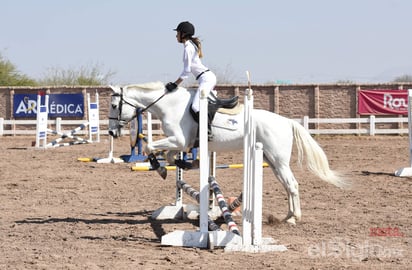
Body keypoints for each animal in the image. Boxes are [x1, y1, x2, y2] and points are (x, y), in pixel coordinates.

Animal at [108, 81, 350, 225]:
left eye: (113, 105)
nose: (111, 131)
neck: (170, 106)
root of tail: (287, 122)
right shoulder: (180, 143)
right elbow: (168, 155)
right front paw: (182, 165)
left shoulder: (180, 140)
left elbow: (150, 147)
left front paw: (161, 170)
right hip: (271, 161)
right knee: (287, 185)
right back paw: (287, 216)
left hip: (278, 161)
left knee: (292, 184)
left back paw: (293, 218)